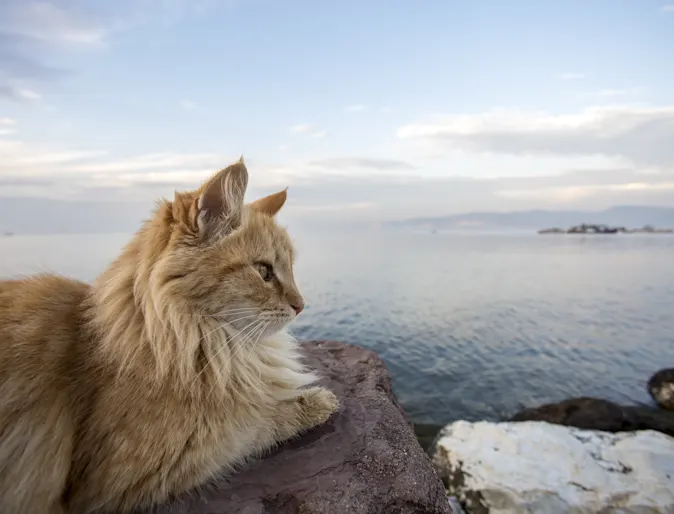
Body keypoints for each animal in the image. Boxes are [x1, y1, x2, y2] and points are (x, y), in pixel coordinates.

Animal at [0, 157, 336, 512]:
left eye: (290, 270)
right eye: (263, 271)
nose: (301, 305)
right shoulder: (135, 474)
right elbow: (256, 422)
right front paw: (315, 402)